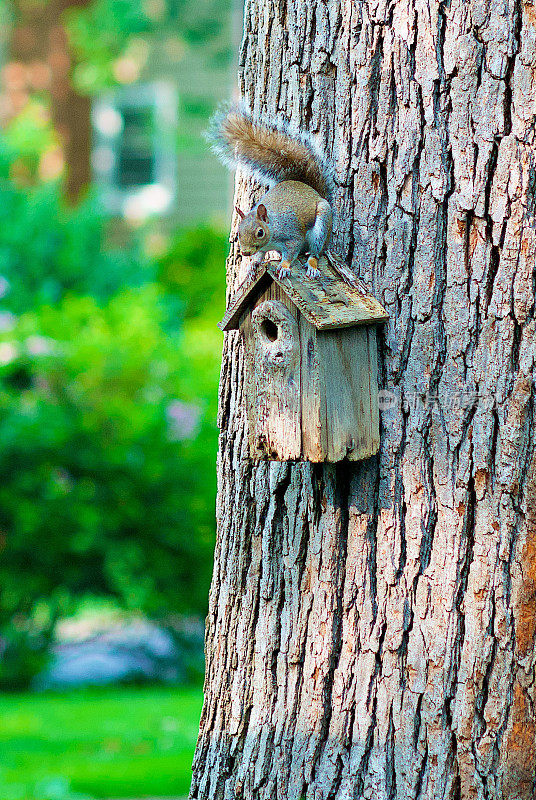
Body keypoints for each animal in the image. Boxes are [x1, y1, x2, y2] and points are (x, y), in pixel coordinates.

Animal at [206, 104, 336, 282]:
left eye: (260, 232)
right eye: (238, 232)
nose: (245, 252)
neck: (272, 228)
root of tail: (313, 190)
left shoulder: (292, 236)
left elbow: (291, 253)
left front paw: (284, 267)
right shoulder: (262, 249)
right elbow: (259, 256)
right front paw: (252, 266)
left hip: (322, 226)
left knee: (316, 252)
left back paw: (312, 266)